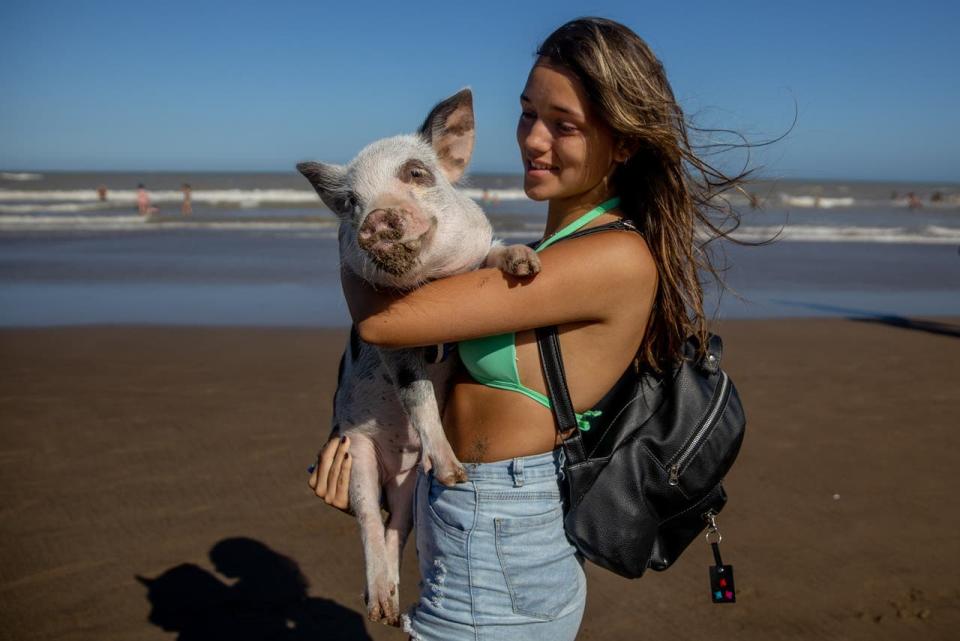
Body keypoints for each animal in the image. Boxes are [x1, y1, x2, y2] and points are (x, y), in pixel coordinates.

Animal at [296, 90, 540, 624]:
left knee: (399, 527)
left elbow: (491, 255)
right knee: (370, 522)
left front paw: (525, 265)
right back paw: (380, 608)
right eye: (351, 203)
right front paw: (454, 473)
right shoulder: (395, 346)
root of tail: (393, 471)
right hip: (358, 455)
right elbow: (419, 396)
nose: (376, 218)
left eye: (415, 173)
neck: (433, 280)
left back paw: (390, 609)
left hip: (409, 486)